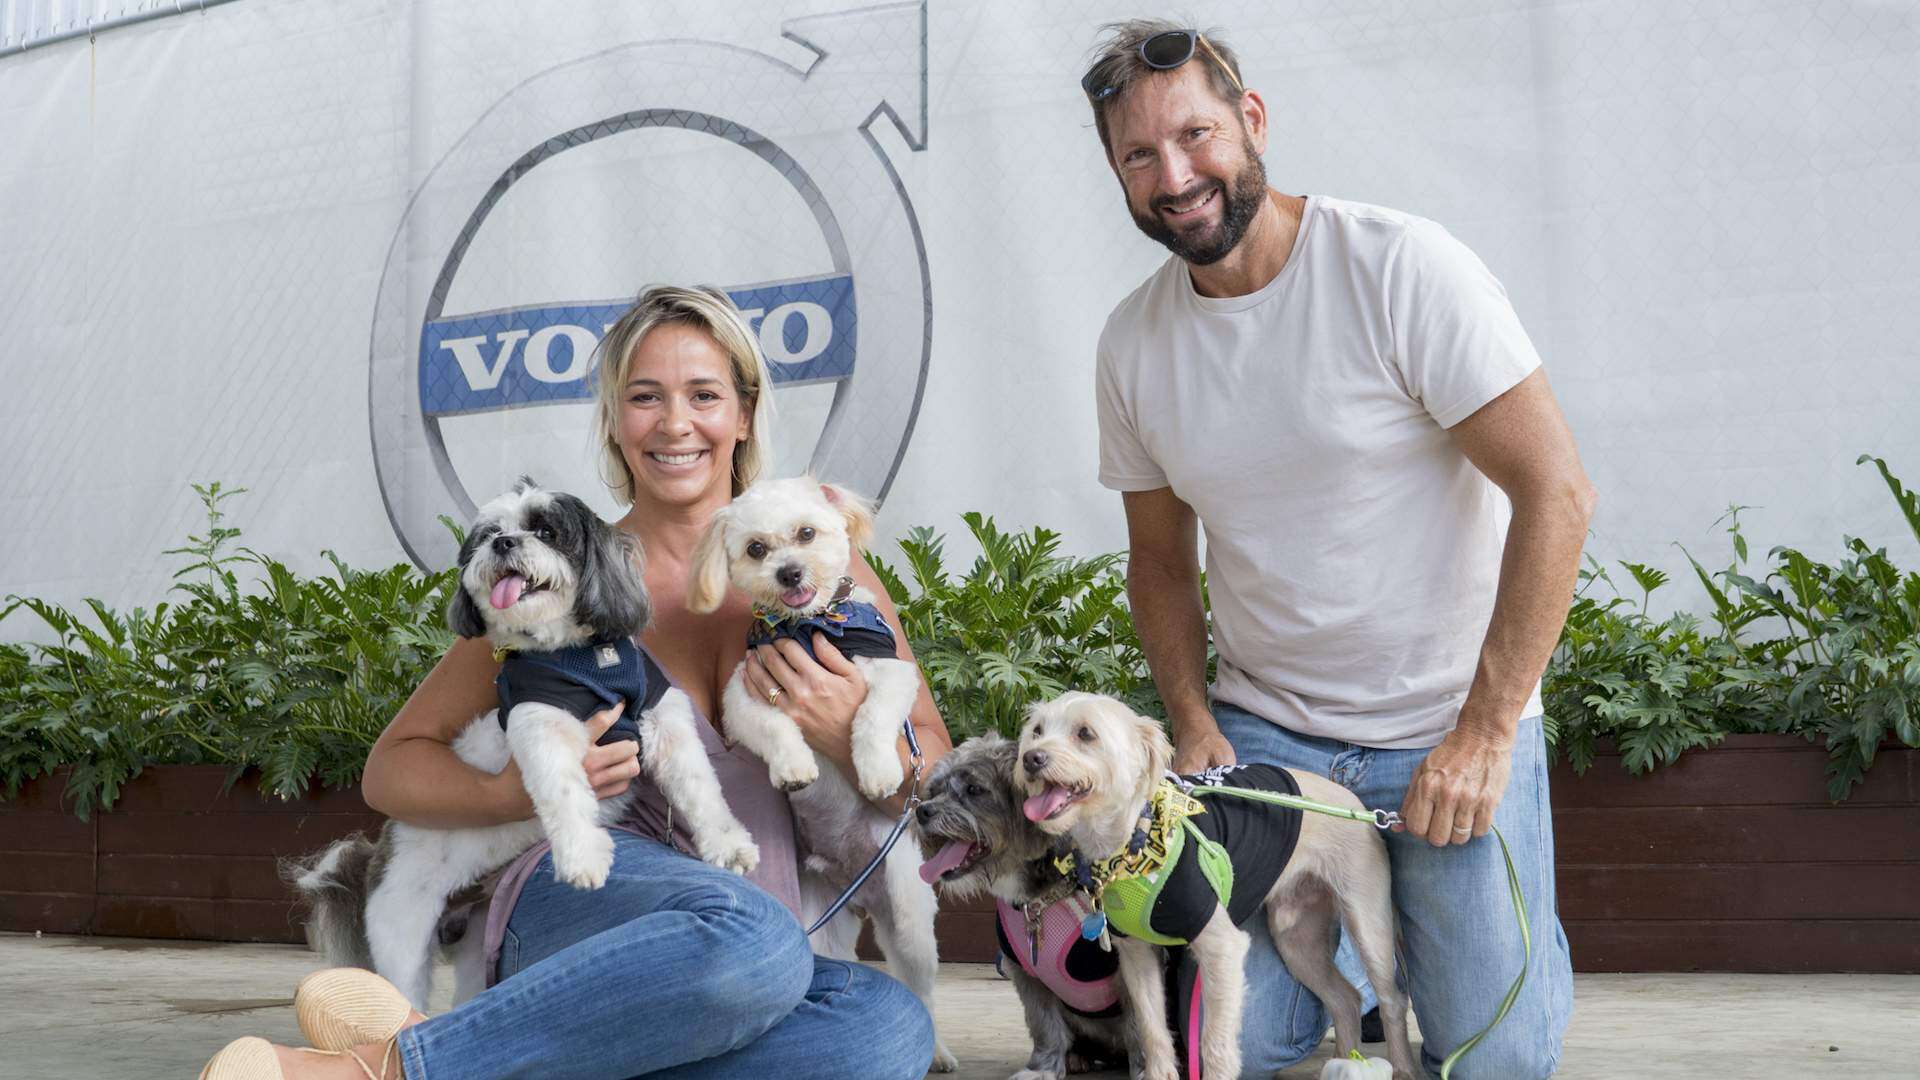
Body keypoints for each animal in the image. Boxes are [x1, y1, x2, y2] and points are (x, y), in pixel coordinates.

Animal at [289, 480, 758, 1009]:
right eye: (488, 535)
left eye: (546, 531)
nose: (504, 543)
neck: (581, 655)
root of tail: (374, 855)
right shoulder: (542, 722)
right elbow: (565, 792)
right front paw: (582, 857)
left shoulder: (662, 712)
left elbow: (698, 785)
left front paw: (729, 846)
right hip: (401, 927)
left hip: (475, 942)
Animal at [688, 475, 955, 1071]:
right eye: (756, 549)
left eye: (807, 534)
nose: (789, 572)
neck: (810, 627)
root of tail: (853, 888)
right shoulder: (746, 694)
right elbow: (774, 728)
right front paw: (794, 767)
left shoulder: (892, 673)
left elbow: (872, 716)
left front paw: (877, 770)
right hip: (820, 925)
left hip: (908, 915)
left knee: (923, 992)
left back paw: (938, 1049)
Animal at [913, 732, 1130, 1080]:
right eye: (934, 791)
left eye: (974, 789)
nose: (922, 811)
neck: (1037, 901)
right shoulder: (1028, 974)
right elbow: (1045, 1026)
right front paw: (1042, 1068)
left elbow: (1142, 1025)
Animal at [1016, 692, 1417, 1080]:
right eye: (1037, 731)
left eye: (1085, 733)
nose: (1031, 759)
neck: (1133, 843)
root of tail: (1359, 807)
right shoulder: (1137, 955)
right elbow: (1152, 1031)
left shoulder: (1221, 949)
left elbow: (1214, 1043)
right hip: (1296, 937)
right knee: (1345, 999)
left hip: (1368, 924)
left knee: (1392, 999)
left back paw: (1402, 1067)